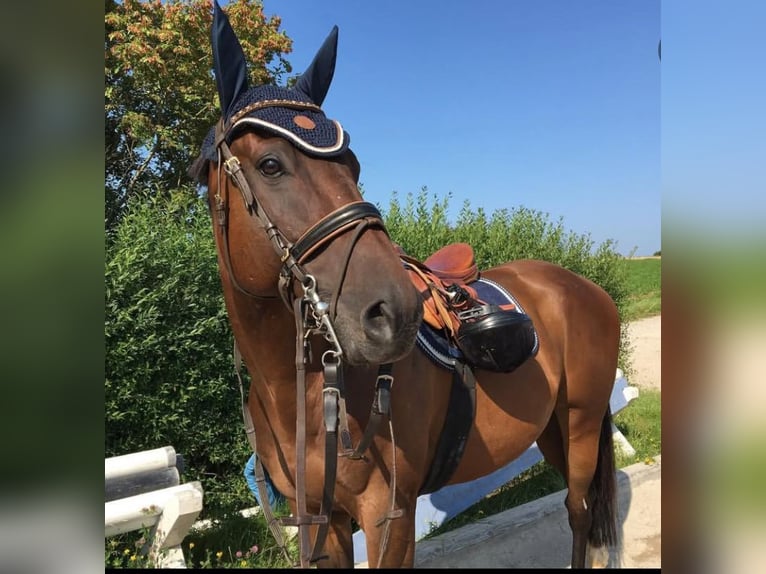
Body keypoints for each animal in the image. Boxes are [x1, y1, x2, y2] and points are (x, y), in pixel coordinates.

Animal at [190, 2, 616, 568]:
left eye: (353, 164)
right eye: (270, 165)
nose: (396, 312)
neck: (299, 395)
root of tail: (585, 287)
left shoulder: (388, 515)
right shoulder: (322, 523)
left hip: (581, 422)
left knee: (579, 510)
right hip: (550, 428)